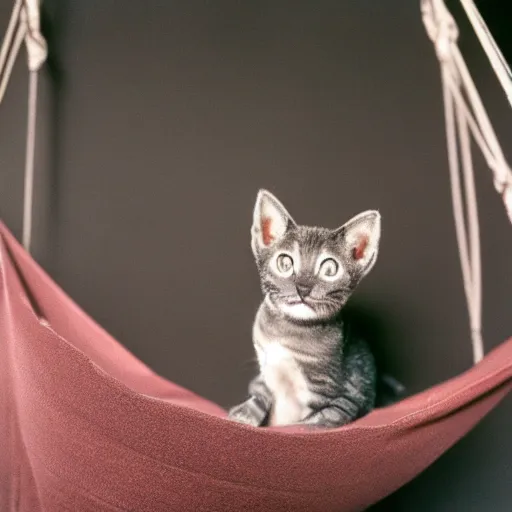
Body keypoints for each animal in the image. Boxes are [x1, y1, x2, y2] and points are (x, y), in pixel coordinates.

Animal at [228, 188, 380, 428]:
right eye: (285, 263)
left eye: (330, 268)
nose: (303, 288)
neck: (291, 332)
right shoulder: (263, 371)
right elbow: (260, 394)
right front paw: (244, 414)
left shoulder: (346, 401)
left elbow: (308, 424)